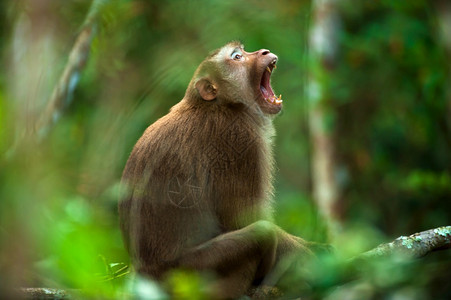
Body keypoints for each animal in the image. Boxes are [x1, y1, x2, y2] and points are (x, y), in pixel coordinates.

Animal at [119, 42, 324, 298]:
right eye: (237, 57)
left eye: (244, 51)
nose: (264, 52)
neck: (217, 105)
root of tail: (147, 276)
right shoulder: (240, 140)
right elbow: (243, 220)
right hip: (194, 271)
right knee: (262, 233)